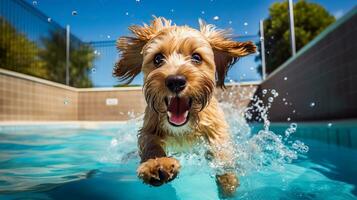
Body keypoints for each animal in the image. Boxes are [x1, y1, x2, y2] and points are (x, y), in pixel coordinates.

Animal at [112, 17, 254, 197]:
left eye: (196, 57)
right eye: (158, 58)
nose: (175, 81)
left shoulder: (217, 130)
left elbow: (222, 155)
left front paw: (228, 181)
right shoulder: (149, 128)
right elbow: (150, 144)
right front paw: (156, 163)